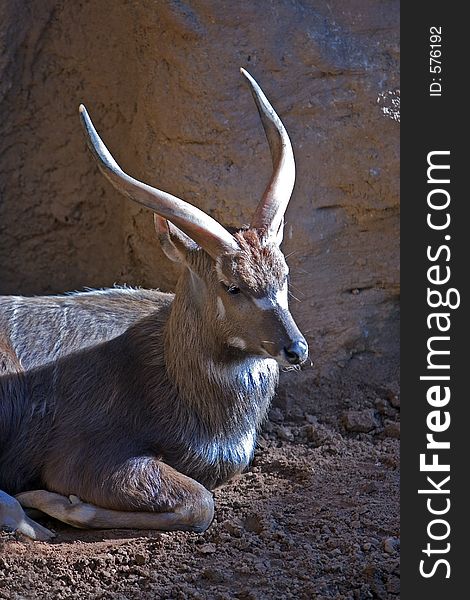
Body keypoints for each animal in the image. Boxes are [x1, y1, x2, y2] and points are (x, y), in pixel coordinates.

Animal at [0, 69, 308, 540]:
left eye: (284, 275)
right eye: (232, 285)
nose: (296, 349)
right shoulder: (83, 458)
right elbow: (201, 503)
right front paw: (58, 504)